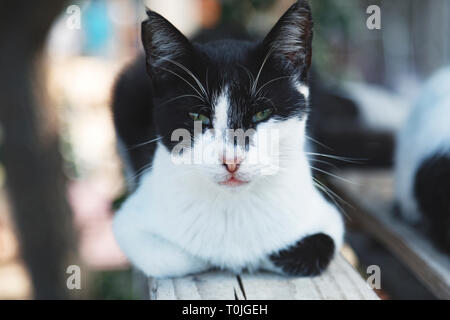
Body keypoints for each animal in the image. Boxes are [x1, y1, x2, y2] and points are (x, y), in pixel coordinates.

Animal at [112, 0, 344, 278]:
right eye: (198, 116)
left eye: (261, 113)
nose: (231, 160)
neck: (233, 206)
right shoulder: (129, 222)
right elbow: (179, 258)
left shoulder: (326, 216)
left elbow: (320, 244)